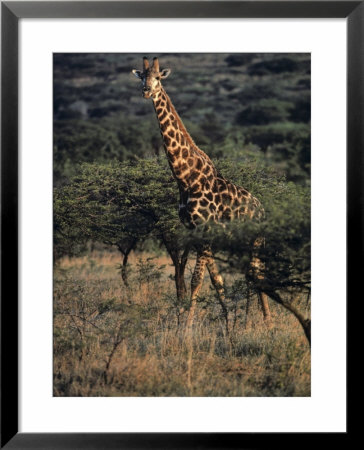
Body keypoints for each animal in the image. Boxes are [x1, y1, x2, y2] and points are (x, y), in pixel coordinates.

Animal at [132, 56, 270, 332]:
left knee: (259, 276)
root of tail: (262, 209)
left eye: (158, 78)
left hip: (255, 241)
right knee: (252, 276)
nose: (146, 91)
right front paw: (228, 326)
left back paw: (269, 324)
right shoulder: (195, 232)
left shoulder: (205, 229)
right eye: (142, 76)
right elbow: (217, 281)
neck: (185, 178)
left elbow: (197, 279)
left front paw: (185, 331)